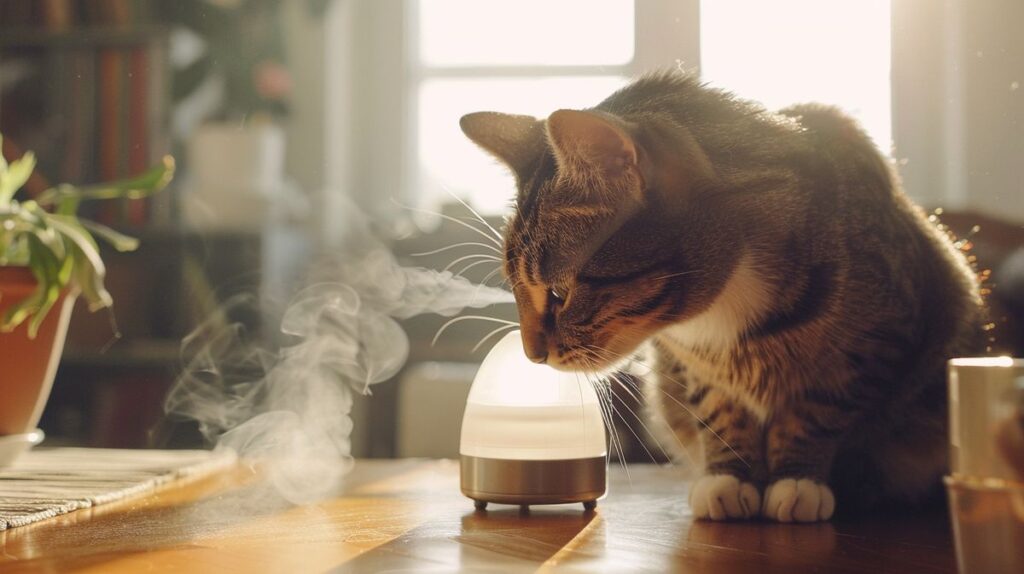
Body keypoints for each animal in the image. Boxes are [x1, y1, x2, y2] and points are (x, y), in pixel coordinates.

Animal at [460, 70, 987, 519]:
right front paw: (730, 477)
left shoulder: (877, 339)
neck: (720, 311)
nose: (531, 355)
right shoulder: (689, 363)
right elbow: (717, 411)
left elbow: (817, 410)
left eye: (558, 292)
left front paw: (798, 479)